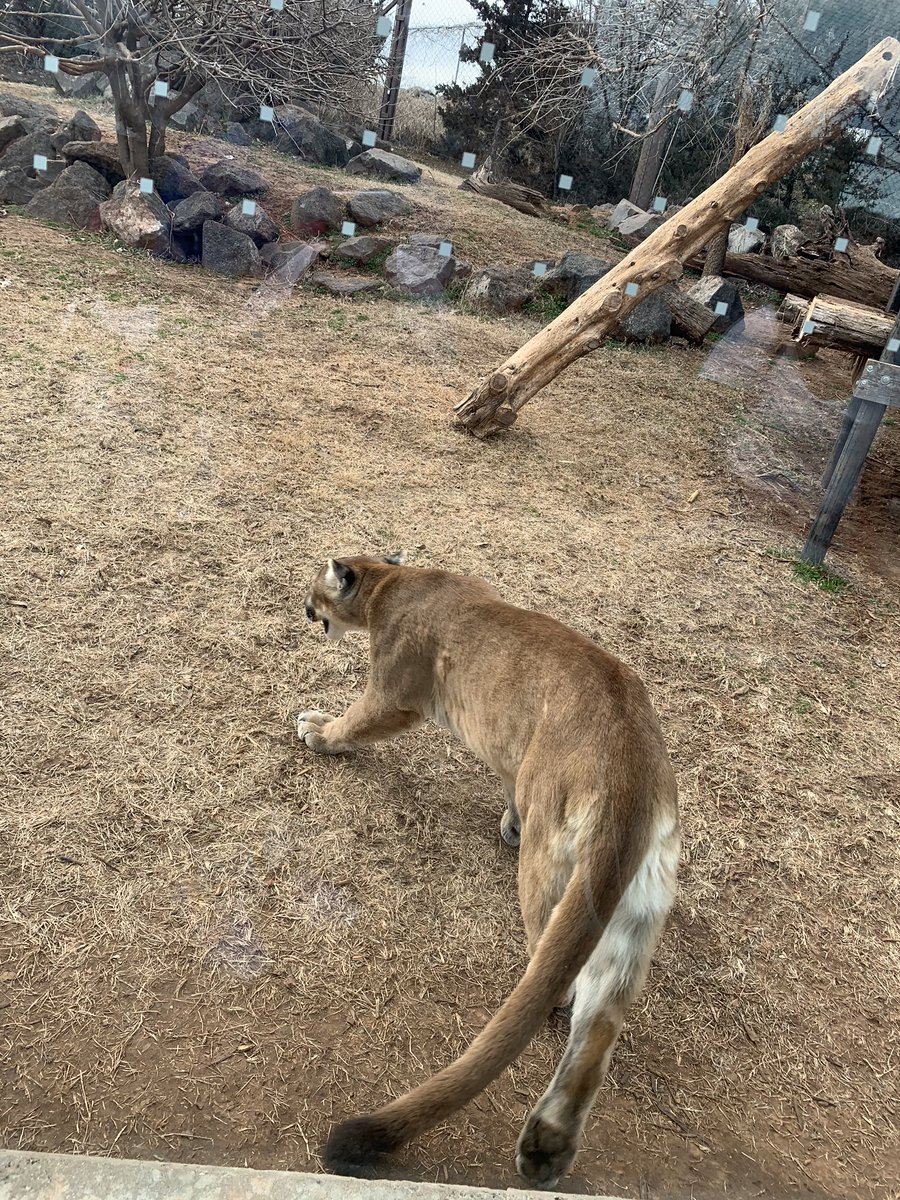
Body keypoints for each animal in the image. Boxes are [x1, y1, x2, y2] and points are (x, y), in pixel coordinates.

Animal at [300, 554, 681, 1190]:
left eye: (315, 590)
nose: (306, 609)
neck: (389, 582)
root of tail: (632, 769)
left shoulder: (392, 694)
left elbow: (353, 722)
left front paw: (316, 730)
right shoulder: (509, 751)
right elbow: (506, 778)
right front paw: (509, 821)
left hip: (553, 868)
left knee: (560, 976)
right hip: (636, 906)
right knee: (602, 1014)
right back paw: (547, 1146)